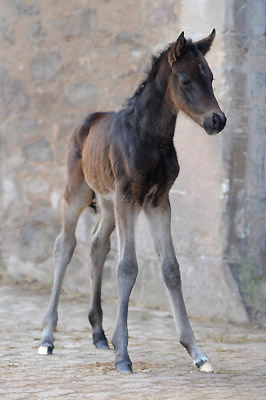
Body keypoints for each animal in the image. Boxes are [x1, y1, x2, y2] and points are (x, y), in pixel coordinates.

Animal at [38, 29, 227, 374]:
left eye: (210, 77)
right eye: (185, 80)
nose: (217, 120)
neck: (151, 138)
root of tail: (89, 120)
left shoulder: (158, 201)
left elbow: (171, 268)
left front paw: (196, 352)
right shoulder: (129, 196)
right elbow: (127, 267)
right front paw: (123, 354)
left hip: (108, 202)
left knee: (98, 245)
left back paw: (98, 334)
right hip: (78, 192)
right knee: (65, 245)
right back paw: (47, 338)